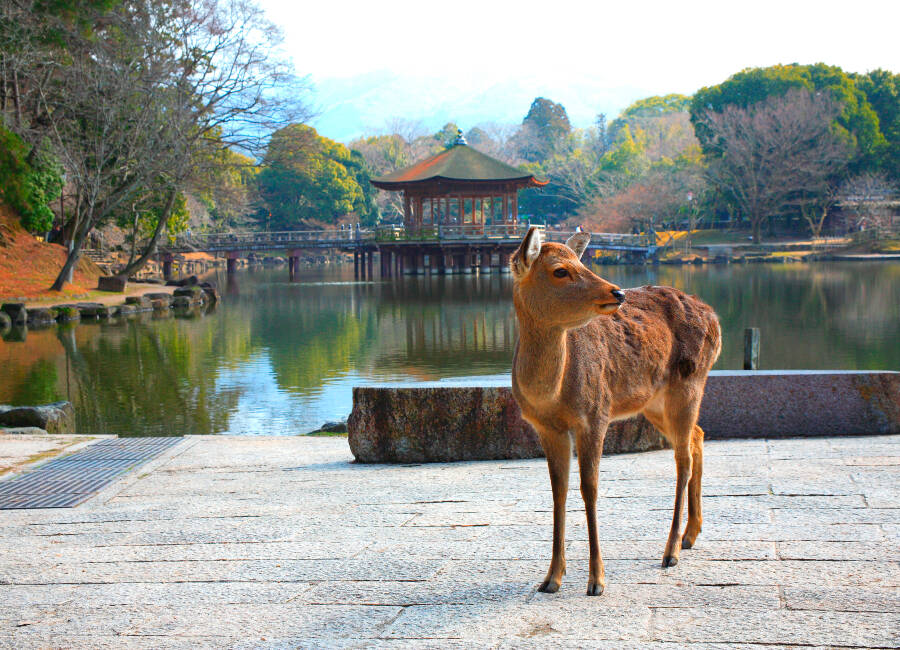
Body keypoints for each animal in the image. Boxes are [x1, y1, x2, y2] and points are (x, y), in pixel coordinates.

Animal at [510, 225, 720, 596]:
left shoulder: (595, 414)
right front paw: (551, 579)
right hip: (653, 402)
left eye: (581, 262)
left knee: (682, 457)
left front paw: (596, 580)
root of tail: (715, 318)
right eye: (560, 270)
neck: (551, 395)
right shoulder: (546, 427)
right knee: (698, 435)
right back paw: (691, 535)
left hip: (690, 383)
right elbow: (558, 490)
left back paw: (671, 551)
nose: (618, 292)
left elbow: (589, 488)